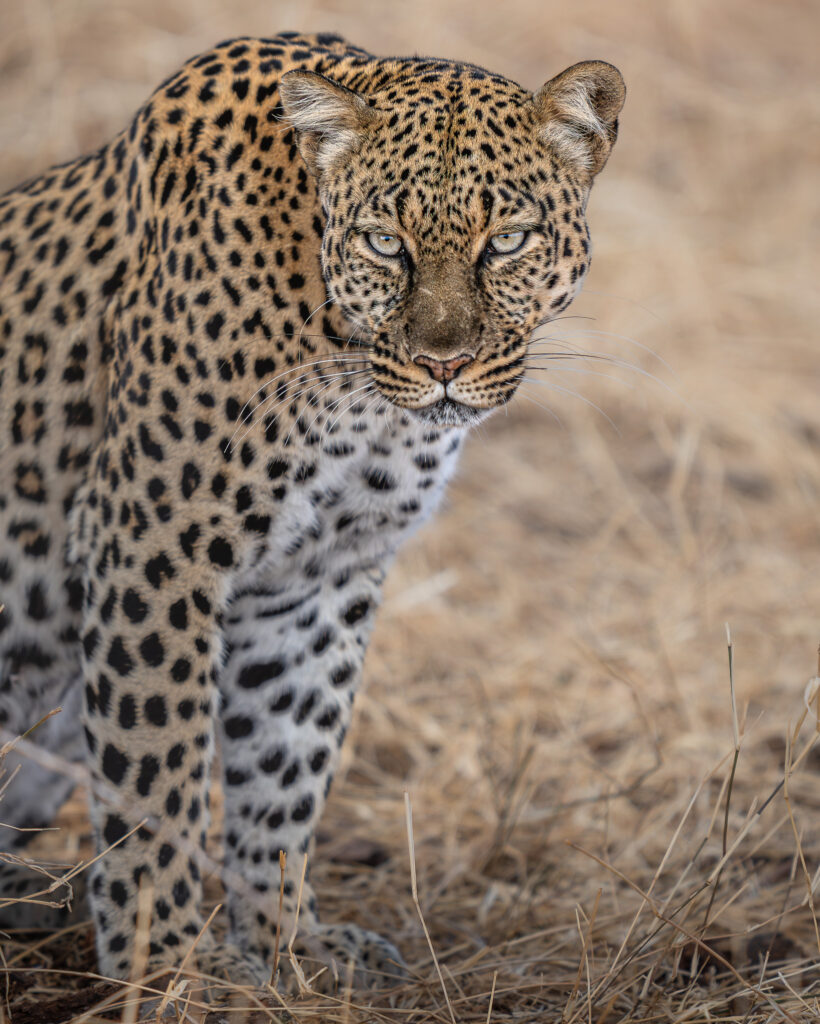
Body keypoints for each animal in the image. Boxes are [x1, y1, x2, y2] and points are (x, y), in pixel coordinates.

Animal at [0, 31, 624, 993]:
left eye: (509, 242)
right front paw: (170, 971)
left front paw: (289, 949)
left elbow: (286, 766)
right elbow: (157, 780)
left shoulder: (317, 578)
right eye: (385, 243)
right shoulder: (153, 543)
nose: (444, 364)